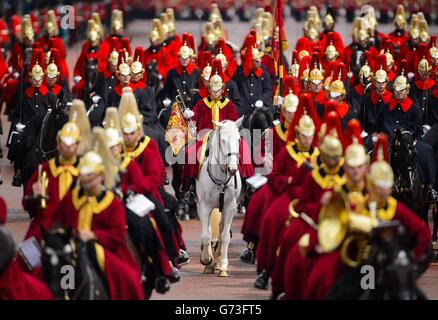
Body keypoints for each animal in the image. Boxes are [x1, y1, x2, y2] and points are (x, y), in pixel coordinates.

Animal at [197, 118, 245, 278]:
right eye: (222, 140)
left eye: (238, 139)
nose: (233, 169)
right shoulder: (204, 206)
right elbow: (206, 235)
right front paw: (207, 260)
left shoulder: (230, 206)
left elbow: (224, 236)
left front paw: (223, 265)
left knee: (221, 227)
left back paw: (217, 260)